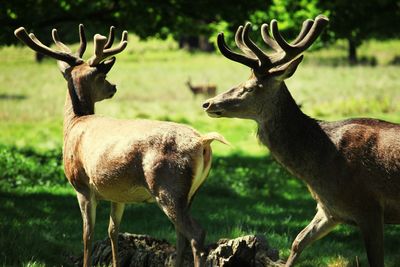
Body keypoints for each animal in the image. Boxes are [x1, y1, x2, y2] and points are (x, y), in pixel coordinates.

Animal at [14, 24, 228, 267]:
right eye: (103, 77)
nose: (113, 87)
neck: (73, 125)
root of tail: (203, 141)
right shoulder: (117, 194)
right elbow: (113, 231)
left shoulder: (82, 184)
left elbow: (87, 234)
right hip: (190, 193)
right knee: (180, 235)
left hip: (167, 185)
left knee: (195, 233)